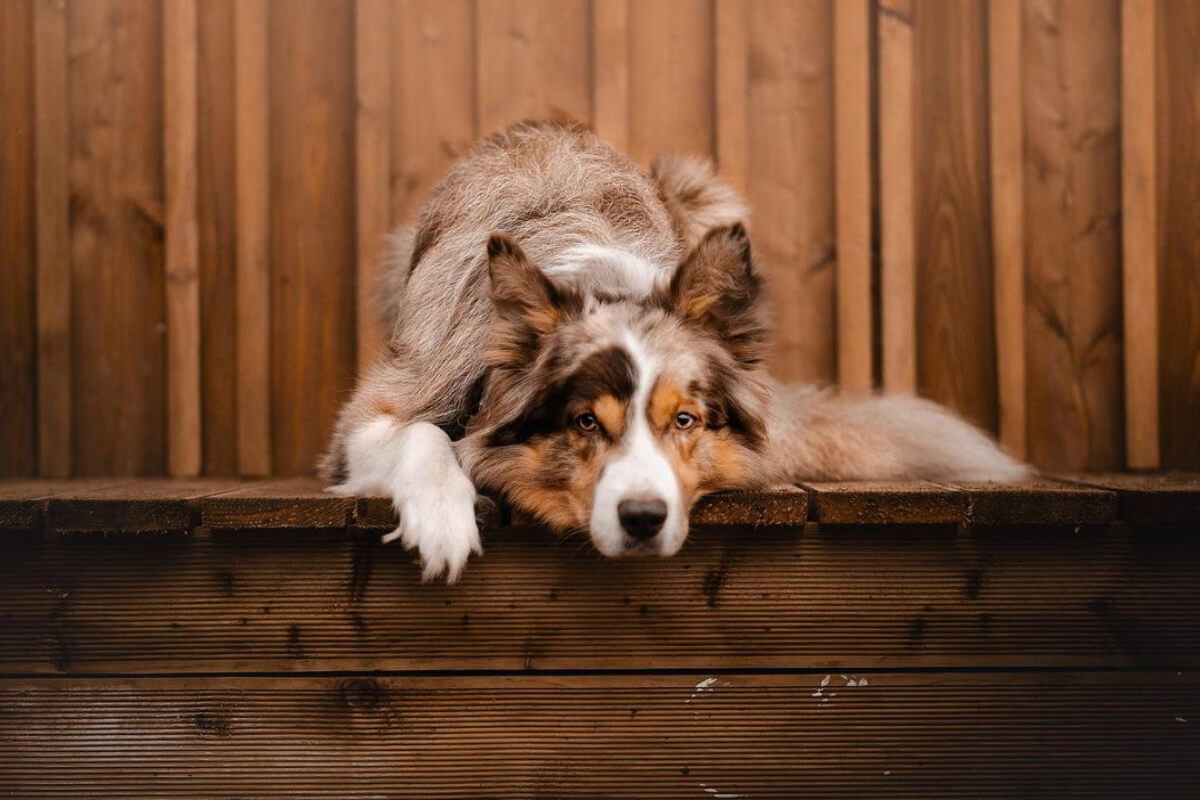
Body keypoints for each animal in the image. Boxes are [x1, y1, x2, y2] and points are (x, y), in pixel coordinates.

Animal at [321, 118, 1032, 582]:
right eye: (585, 422)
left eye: (685, 420)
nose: (644, 519)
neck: (603, 281)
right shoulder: (389, 401)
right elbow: (422, 434)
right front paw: (443, 519)